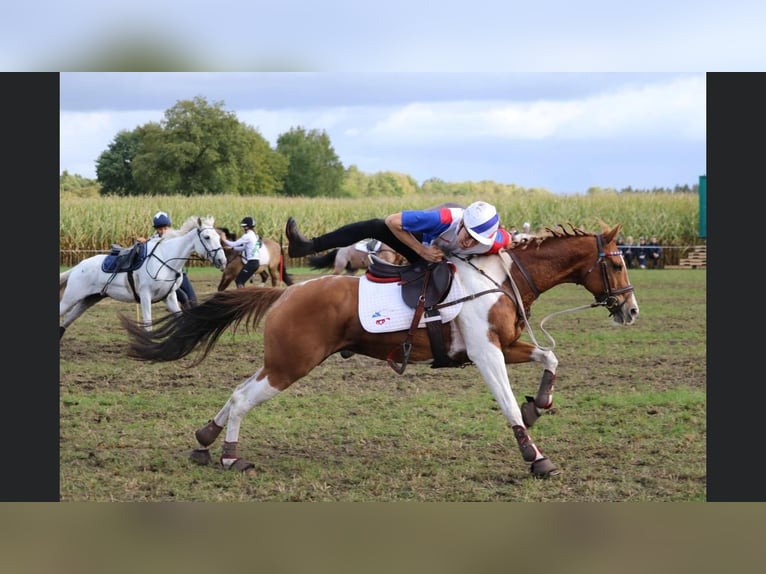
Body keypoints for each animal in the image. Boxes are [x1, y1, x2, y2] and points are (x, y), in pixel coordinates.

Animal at [58, 217, 226, 342]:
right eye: (207, 237)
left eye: (219, 237)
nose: (222, 261)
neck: (165, 259)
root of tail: (78, 266)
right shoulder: (146, 296)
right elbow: (148, 323)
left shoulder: (170, 298)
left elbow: (180, 317)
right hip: (71, 297)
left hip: (89, 299)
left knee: (67, 320)